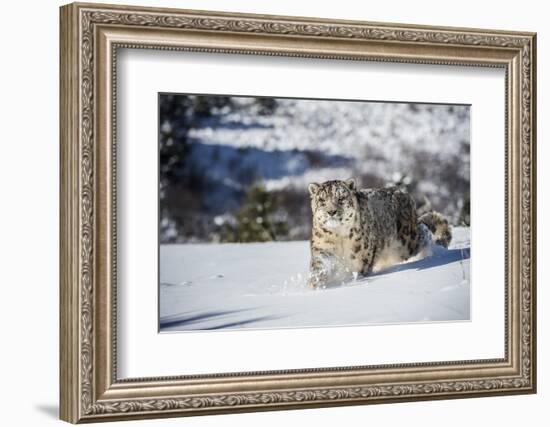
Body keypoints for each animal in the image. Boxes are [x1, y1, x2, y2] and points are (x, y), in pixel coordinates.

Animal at [306, 179, 452, 290]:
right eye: (322, 200)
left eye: (341, 198)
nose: (331, 211)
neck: (339, 236)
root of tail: (403, 192)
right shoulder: (322, 248)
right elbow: (320, 265)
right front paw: (316, 282)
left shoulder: (361, 259)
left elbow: (358, 272)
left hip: (406, 244)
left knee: (424, 233)